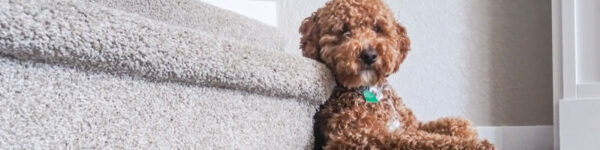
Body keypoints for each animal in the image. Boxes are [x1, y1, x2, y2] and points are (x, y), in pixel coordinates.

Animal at [300, 0, 496, 149]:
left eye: (377, 28)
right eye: (344, 31)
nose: (369, 55)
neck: (371, 90)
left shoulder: (410, 124)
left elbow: (451, 124)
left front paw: (465, 130)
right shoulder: (361, 136)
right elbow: (421, 139)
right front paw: (475, 144)